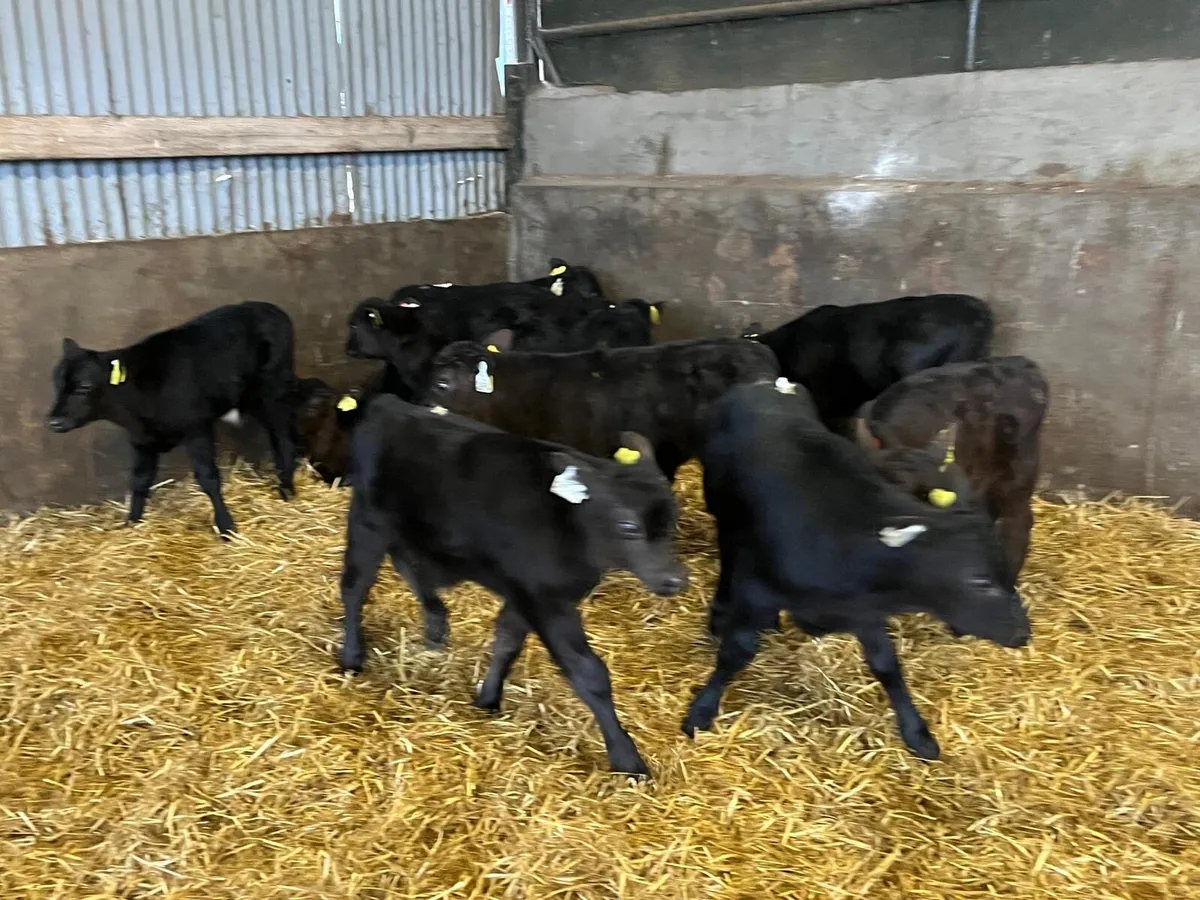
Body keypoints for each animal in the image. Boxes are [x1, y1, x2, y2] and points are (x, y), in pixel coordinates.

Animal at [46, 301, 298, 536]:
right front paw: (132, 523)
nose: (54, 421)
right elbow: (140, 480)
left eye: (84, 386)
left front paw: (226, 527)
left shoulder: (197, 428)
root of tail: (267, 307)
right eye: (56, 383)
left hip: (273, 388)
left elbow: (208, 478)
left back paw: (286, 488)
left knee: (283, 434)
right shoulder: (140, 439)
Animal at [338, 395, 688, 776]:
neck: (569, 523)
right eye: (628, 526)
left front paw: (488, 699)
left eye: (673, 519)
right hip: (368, 521)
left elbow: (506, 642)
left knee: (411, 568)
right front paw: (627, 759)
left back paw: (435, 629)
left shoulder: (523, 592)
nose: (674, 579)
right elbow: (589, 673)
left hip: (413, 533)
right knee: (355, 586)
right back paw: (351, 658)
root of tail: (392, 404)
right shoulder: (545, 600)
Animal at [683, 381, 1030, 760]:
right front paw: (702, 709)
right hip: (721, 508)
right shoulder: (756, 589)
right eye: (979, 580)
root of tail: (766, 384)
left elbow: (887, 666)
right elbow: (737, 650)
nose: (1023, 633)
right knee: (728, 550)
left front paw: (916, 732)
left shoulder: (865, 611)